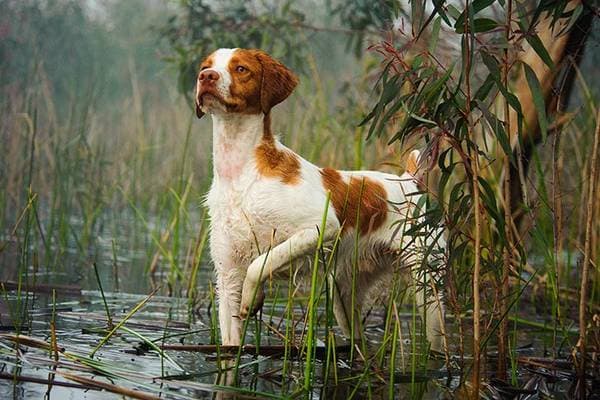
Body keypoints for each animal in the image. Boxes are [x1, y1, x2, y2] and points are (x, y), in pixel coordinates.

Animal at [197, 48, 446, 352]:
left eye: (241, 69)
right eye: (206, 66)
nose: (206, 77)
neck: (241, 173)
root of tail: (409, 180)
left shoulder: (321, 227)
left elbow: (262, 262)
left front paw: (252, 298)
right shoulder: (228, 276)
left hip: (428, 288)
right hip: (343, 294)